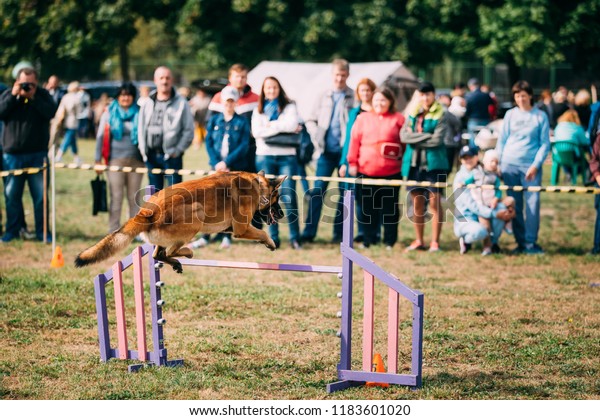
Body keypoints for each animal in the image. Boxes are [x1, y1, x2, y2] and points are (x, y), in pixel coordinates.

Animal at [75, 171, 286, 272]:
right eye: (278, 199)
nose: (283, 215)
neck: (258, 186)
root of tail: (147, 212)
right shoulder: (241, 230)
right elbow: (262, 232)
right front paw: (270, 243)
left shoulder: (229, 229)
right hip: (196, 216)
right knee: (170, 250)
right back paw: (187, 252)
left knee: (158, 254)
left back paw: (176, 261)